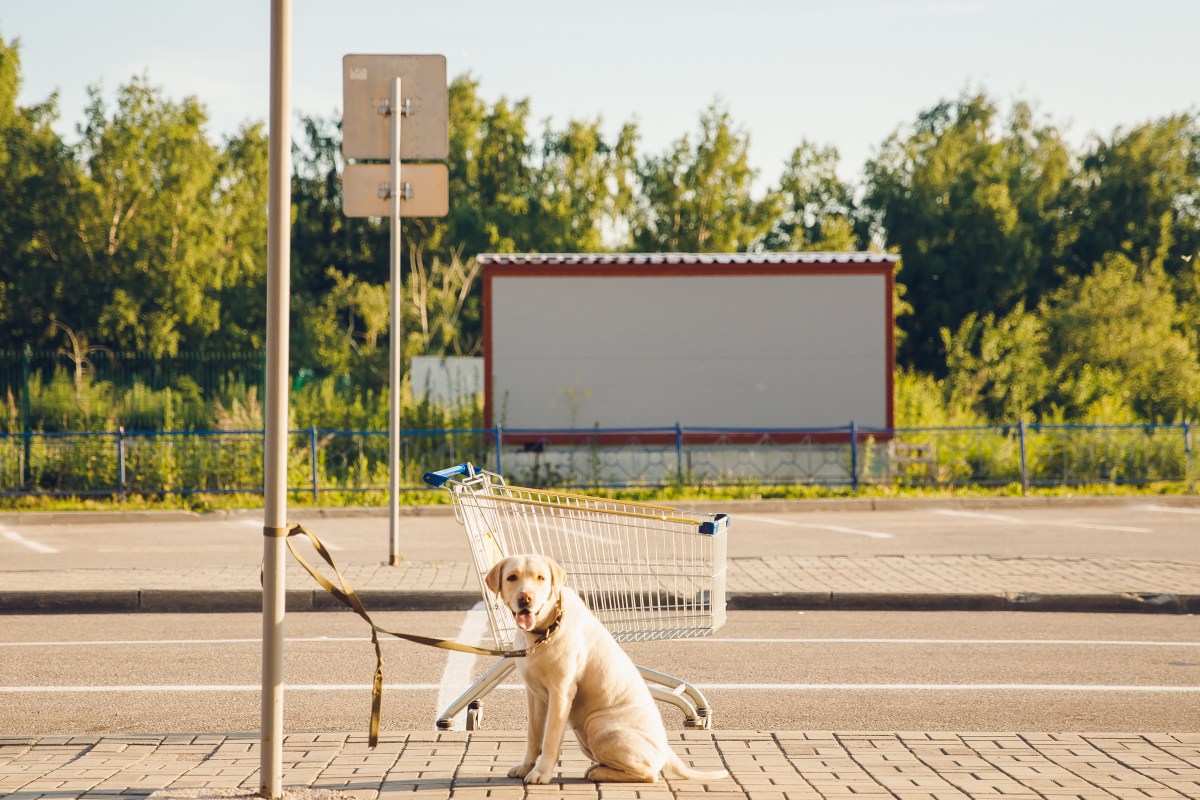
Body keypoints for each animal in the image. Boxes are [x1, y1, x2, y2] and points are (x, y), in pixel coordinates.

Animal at [482, 554, 724, 786]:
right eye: (512, 577)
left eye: (540, 578)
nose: (525, 599)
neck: (544, 633)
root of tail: (667, 748)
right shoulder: (533, 695)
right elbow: (533, 737)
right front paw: (526, 767)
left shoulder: (561, 693)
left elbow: (550, 739)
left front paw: (541, 773)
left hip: (597, 725)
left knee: (650, 774)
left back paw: (599, 773)